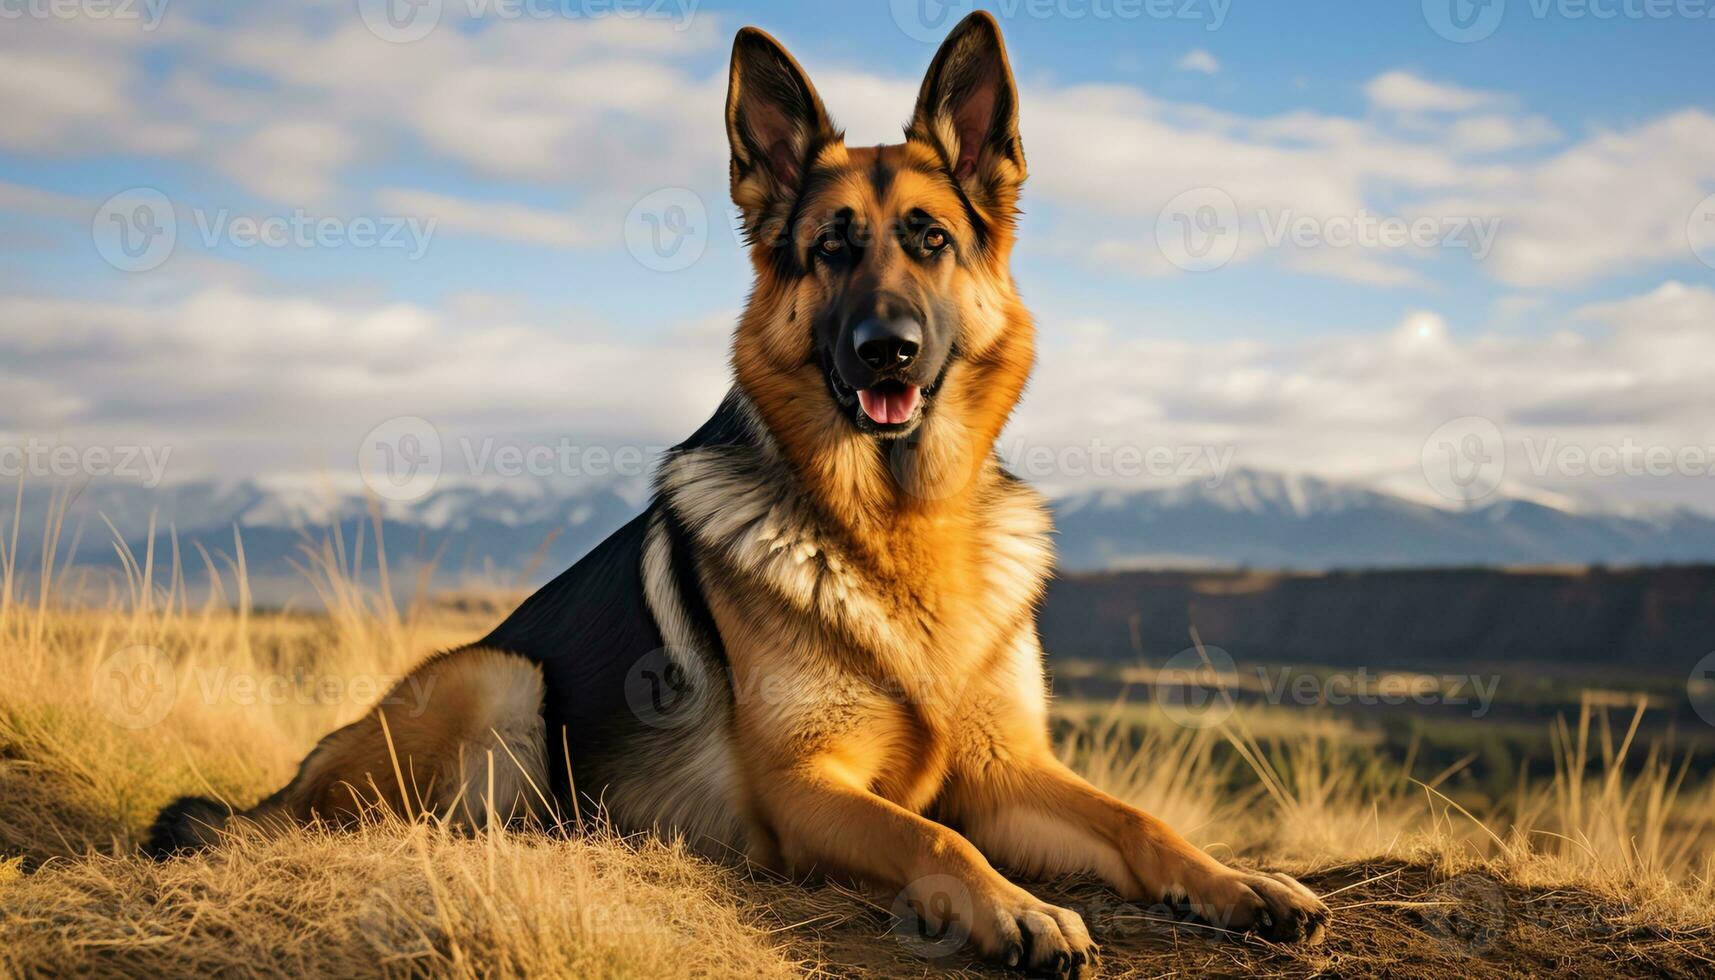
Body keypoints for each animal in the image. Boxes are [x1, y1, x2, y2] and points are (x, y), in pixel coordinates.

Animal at [150, 13, 1323, 974]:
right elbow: (932, 834)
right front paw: (1015, 908)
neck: (901, 527)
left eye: (930, 240)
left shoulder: (1005, 768)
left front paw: (1236, 880)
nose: (885, 349)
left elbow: (1136, 822)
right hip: (495, 676)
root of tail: (282, 787)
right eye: (831, 248)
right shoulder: (810, 789)